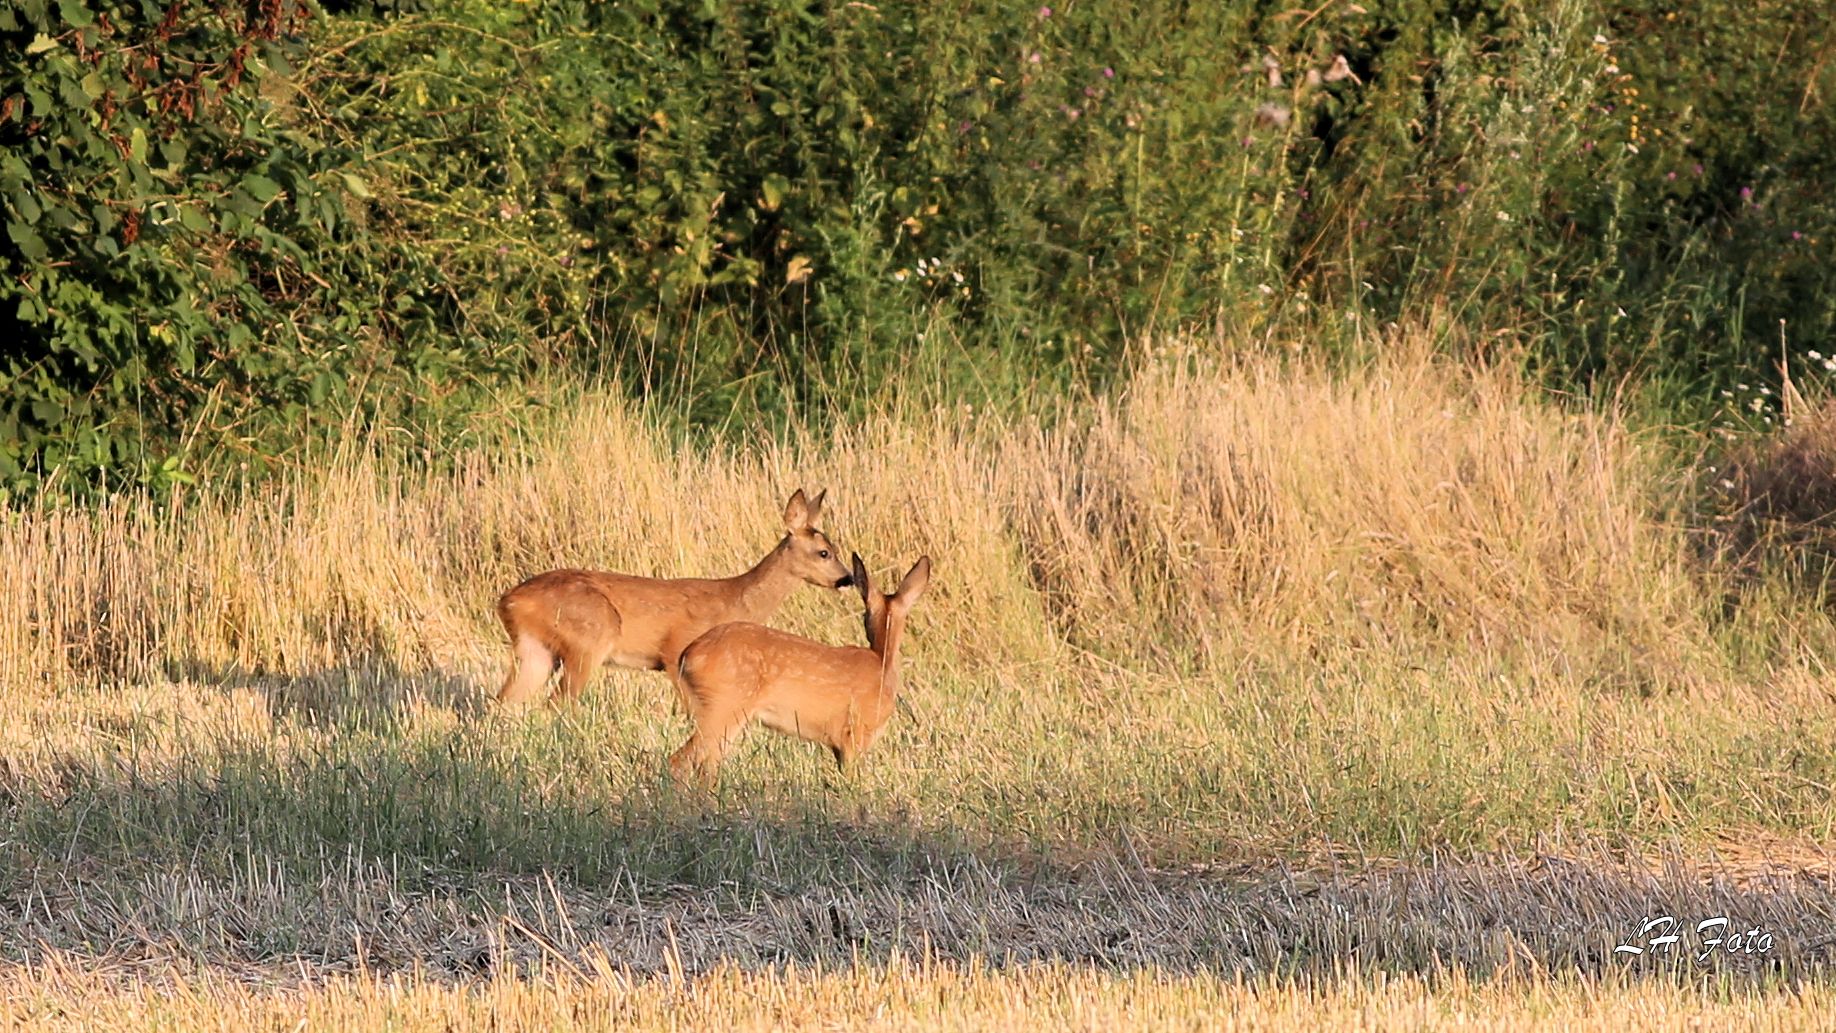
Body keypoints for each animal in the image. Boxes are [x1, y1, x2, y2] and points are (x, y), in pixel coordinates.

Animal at [492, 488, 855, 708]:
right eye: (824, 552)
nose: (848, 578)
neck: (735, 601)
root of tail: (509, 599)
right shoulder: (675, 652)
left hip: (535, 649)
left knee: (506, 701)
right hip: (589, 639)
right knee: (557, 702)